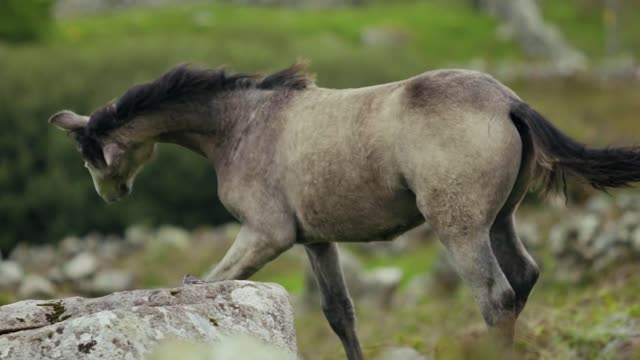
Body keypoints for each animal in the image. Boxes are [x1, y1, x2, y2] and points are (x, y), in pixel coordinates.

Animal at [50, 63, 640, 358]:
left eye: (94, 156)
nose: (111, 195)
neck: (243, 126)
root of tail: (509, 102)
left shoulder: (265, 233)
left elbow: (205, 284)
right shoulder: (315, 239)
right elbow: (341, 314)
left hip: (460, 227)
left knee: (495, 297)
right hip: (499, 220)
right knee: (523, 278)